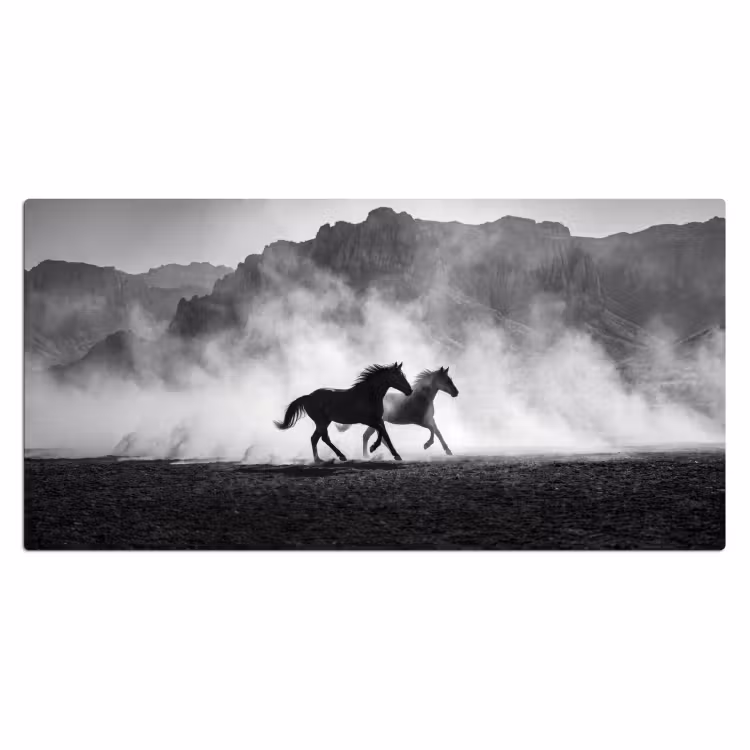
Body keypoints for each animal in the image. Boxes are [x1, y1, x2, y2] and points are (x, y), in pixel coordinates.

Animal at [273, 362, 413, 463]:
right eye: (396, 376)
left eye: (403, 375)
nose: (410, 390)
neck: (368, 396)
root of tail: (308, 396)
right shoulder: (367, 420)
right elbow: (381, 432)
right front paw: (373, 448)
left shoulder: (379, 419)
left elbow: (385, 435)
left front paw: (397, 455)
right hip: (321, 421)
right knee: (324, 438)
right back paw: (341, 456)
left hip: (324, 422)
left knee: (314, 438)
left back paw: (319, 460)